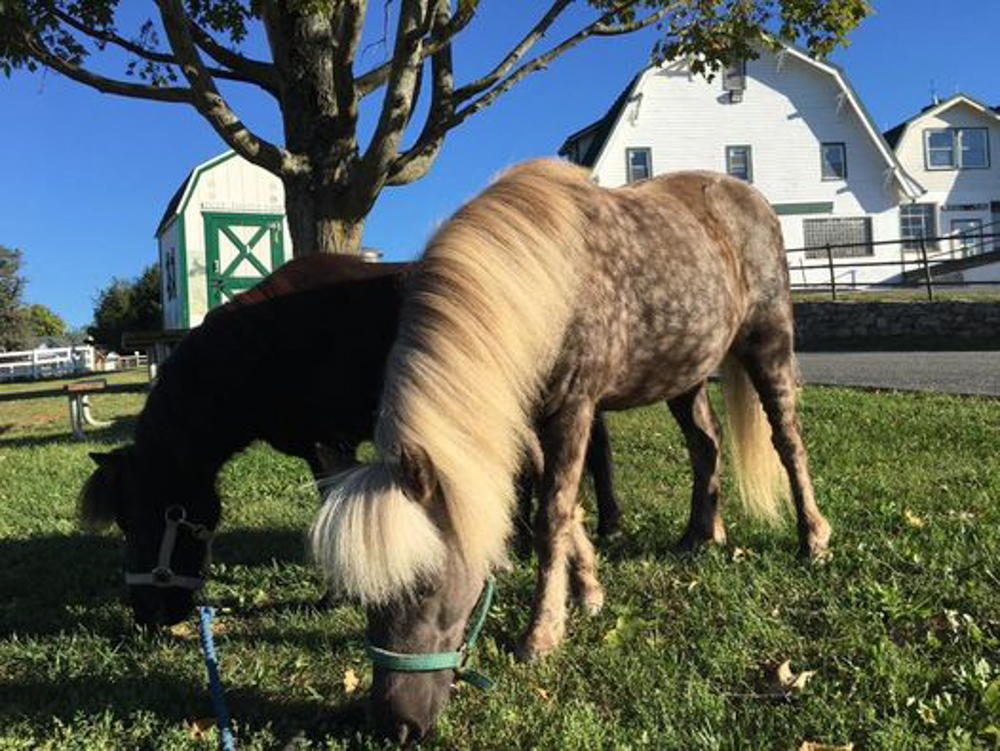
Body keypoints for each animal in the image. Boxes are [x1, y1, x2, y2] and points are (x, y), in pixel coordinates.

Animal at [310, 160, 828, 748]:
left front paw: (541, 634)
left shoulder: (573, 407)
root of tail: (750, 198)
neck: (540, 285)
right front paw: (588, 590)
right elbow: (561, 505)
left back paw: (813, 538)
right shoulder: (532, 417)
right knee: (706, 444)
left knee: (788, 442)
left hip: (768, 344)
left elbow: (550, 516)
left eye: (425, 586)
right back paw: (701, 534)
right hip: (684, 372)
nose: (395, 725)